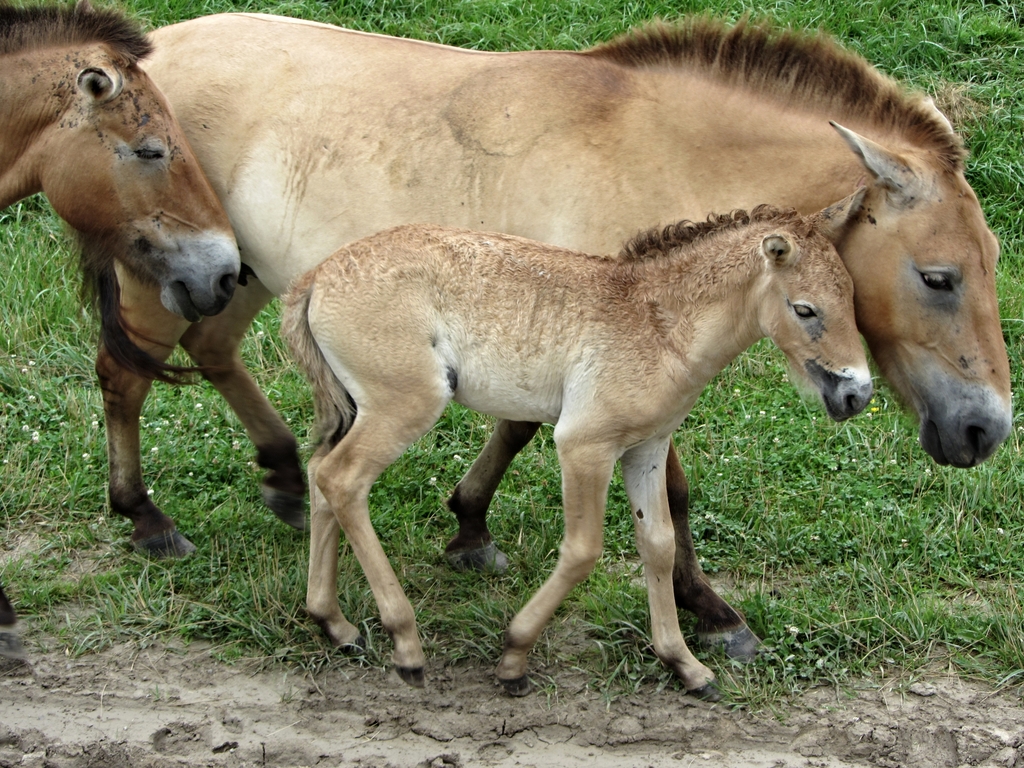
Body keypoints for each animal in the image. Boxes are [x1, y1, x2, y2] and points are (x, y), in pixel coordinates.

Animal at [281, 202, 873, 696]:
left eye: (852, 297)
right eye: (805, 310)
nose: (858, 394)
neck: (659, 322)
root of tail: (314, 277)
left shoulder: (646, 448)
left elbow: (658, 544)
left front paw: (684, 664)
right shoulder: (584, 445)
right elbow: (584, 549)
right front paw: (515, 656)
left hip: (360, 409)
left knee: (320, 473)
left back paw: (334, 623)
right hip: (404, 404)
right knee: (342, 479)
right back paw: (404, 644)